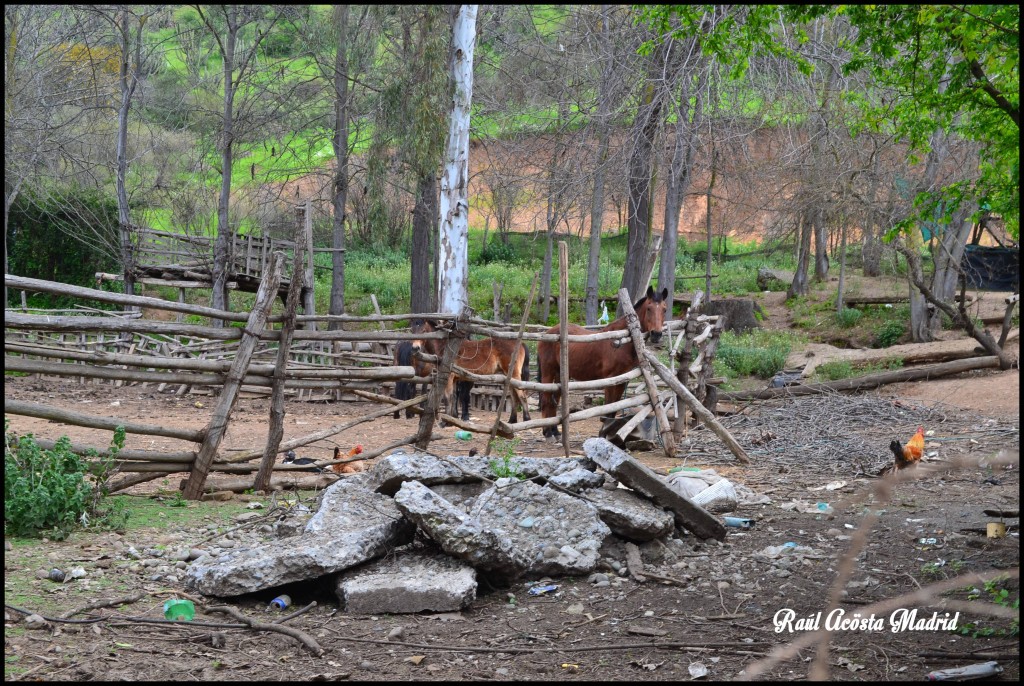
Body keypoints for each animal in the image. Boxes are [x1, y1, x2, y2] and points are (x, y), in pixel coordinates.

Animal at [536, 286, 671, 440]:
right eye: (649, 308)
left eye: (664, 309)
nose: (657, 334)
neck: (620, 341)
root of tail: (548, 334)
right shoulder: (610, 380)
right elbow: (608, 408)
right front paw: (603, 434)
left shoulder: (622, 381)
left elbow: (614, 409)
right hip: (548, 372)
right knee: (546, 400)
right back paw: (547, 433)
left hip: (560, 375)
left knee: (554, 401)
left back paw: (555, 432)